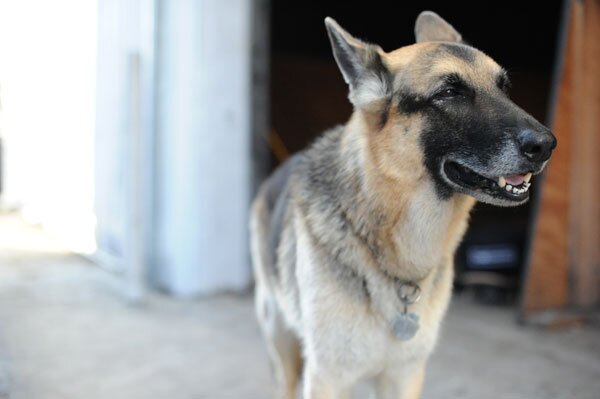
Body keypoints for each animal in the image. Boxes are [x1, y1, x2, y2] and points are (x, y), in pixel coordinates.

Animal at [247, 10, 552, 398]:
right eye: (449, 93)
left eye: (504, 88)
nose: (547, 145)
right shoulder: (327, 378)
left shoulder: (404, 376)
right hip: (281, 341)